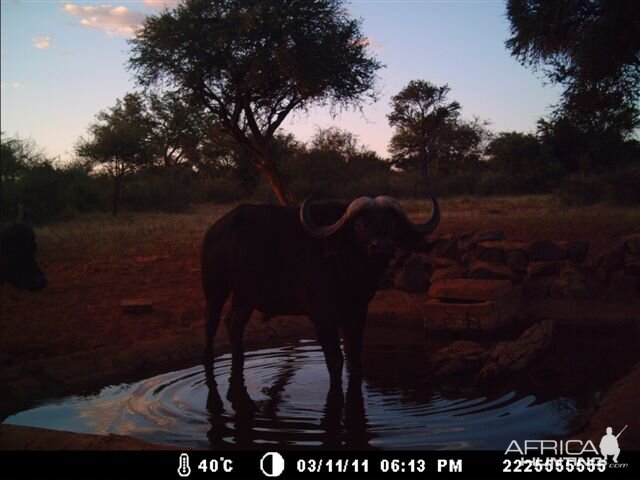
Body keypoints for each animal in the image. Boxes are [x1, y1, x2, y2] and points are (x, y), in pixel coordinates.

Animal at [201, 194, 440, 386]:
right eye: (359, 225)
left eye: (391, 224)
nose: (382, 246)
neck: (347, 270)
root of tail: (214, 231)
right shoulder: (322, 315)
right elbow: (335, 361)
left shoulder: (357, 312)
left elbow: (354, 358)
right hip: (215, 288)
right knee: (211, 324)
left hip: (245, 297)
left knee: (233, 323)